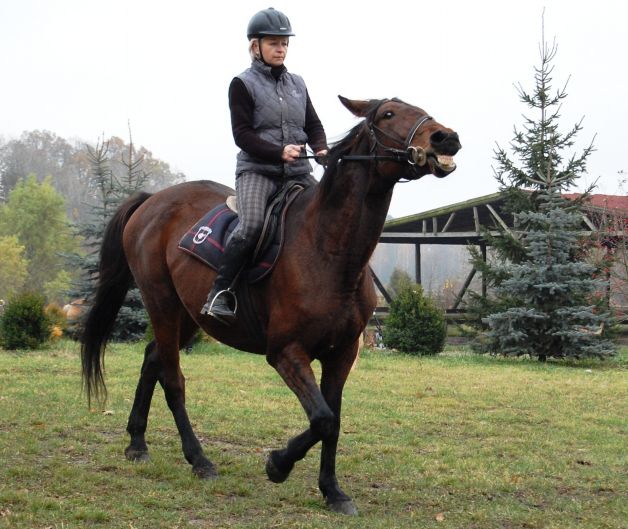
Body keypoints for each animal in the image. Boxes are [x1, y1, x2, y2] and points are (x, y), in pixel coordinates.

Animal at [81, 94, 462, 512]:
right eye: (389, 114)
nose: (446, 137)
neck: (326, 248)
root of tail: (153, 201)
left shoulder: (342, 354)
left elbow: (333, 420)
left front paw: (332, 491)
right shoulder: (285, 352)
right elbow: (322, 419)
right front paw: (278, 464)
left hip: (189, 316)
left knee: (152, 359)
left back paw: (137, 443)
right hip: (162, 304)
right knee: (173, 379)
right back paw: (199, 459)